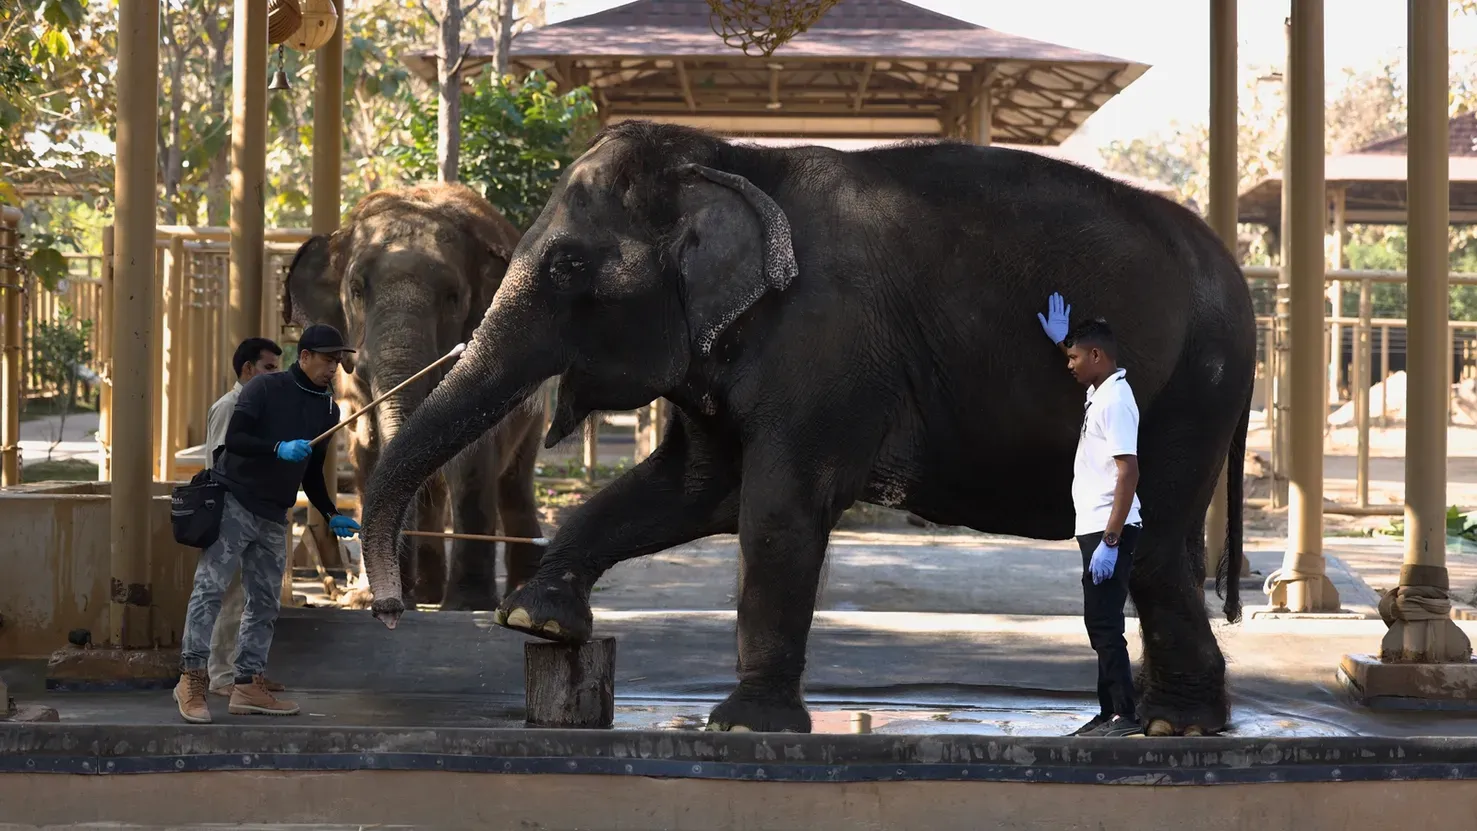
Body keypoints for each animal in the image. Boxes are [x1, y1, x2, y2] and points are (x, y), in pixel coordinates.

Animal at [285, 183, 546, 611]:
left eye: (453, 297)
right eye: (356, 290)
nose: (389, 600)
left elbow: (472, 463)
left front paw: (468, 604)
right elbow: (368, 450)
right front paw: (366, 599)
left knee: (514, 481)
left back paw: (516, 592)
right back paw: (426, 593)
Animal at [351, 121, 1252, 735]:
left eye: (570, 265)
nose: (387, 609)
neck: (734, 158)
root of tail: (1234, 274)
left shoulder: (826, 340)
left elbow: (776, 508)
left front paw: (743, 723)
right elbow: (686, 490)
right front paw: (536, 620)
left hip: (1188, 389)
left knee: (1155, 544)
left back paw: (1171, 725)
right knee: (1161, 550)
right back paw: (1168, 720)